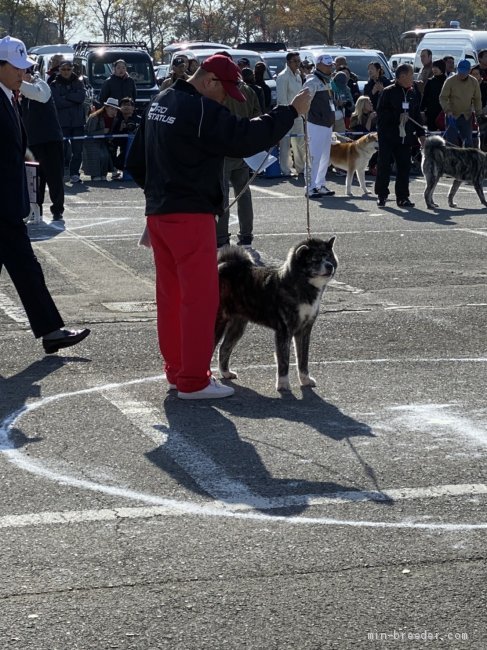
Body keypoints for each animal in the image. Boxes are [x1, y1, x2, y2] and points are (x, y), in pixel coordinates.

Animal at [217, 237, 340, 390]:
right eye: (315, 259)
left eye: (329, 257)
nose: (329, 266)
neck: (299, 284)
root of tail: (222, 266)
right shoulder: (284, 330)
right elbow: (284, 359)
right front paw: (283, 383)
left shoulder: (304, 330)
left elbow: (303, 358)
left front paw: (305, 379)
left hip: (237, 326)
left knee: (224, 348)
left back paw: (226, 373)